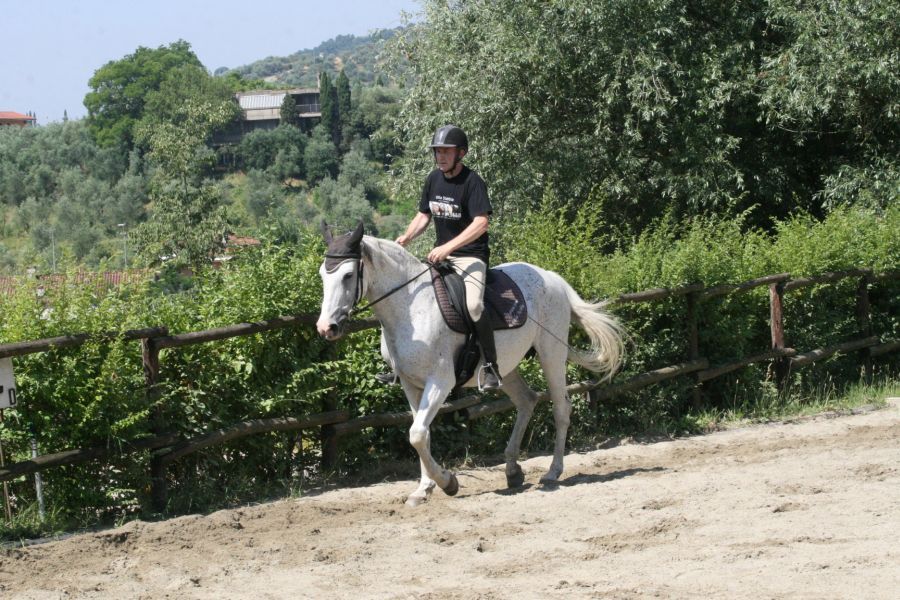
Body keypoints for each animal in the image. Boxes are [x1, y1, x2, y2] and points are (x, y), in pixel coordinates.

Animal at [318, 224, 624, 506]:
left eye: (348, 275)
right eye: (323, 274)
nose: (326, 328)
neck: (410, 308)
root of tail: (553, 278)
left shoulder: (440, 382)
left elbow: (416, 434)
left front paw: (448, 482)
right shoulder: (410, 383)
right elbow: (421, 434)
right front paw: (423, 489)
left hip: (552, 354)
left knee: (561, 408)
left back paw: (552, 472)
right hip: (506, 366)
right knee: (527, 400)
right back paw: (512, 471)